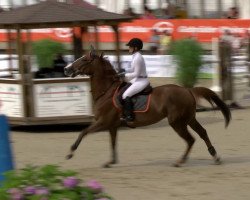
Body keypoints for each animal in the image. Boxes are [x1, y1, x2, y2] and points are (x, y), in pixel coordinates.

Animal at [64, 49, 230, 167]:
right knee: (202, 133)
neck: (107, 91)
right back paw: (215, 157)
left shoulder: (103, 122)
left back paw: (180, 161)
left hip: (177, 122)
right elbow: (112, 143)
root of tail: (187, 90)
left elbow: (83, 132)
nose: (67, 69)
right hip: (189, 119)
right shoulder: (112, 126)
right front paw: (110, 162)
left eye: (84, 59)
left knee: (190, 139)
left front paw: (70, 153)